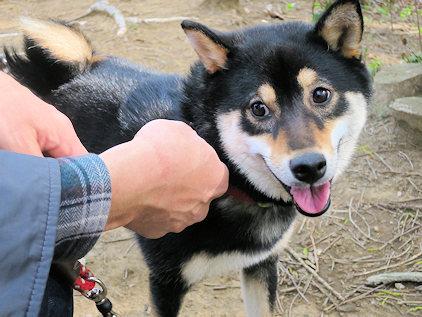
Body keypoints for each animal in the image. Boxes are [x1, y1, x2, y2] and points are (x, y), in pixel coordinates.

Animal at [4, 0, 370, 314]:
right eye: (258, 108)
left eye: (320, 94)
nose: (309, 167)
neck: (226, 171)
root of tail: (75, 70)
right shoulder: (166, 284)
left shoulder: (261, 265)